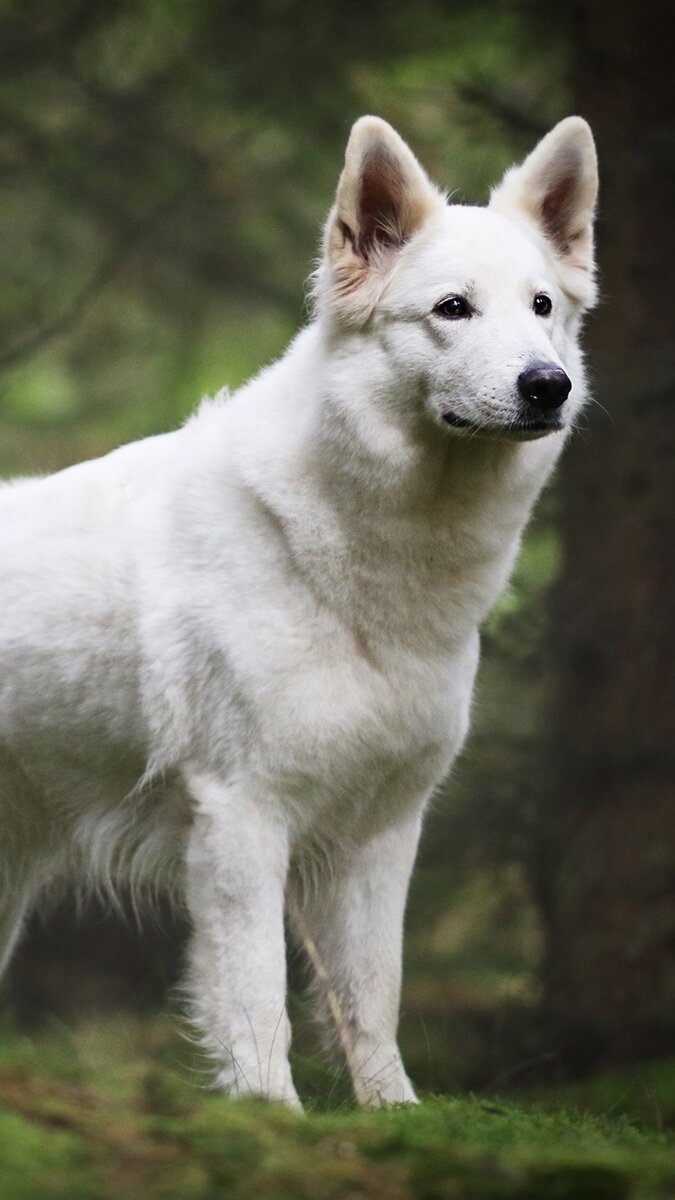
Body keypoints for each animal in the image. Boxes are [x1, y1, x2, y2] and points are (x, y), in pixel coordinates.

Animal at [1, 114, 593, 1104]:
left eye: (542, 306)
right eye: (452, 309)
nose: (548, 385)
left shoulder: (381, 832)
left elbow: (372, 995)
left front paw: (392, 1114)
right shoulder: (243, 818)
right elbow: (255, 1001)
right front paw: (268, 1114)